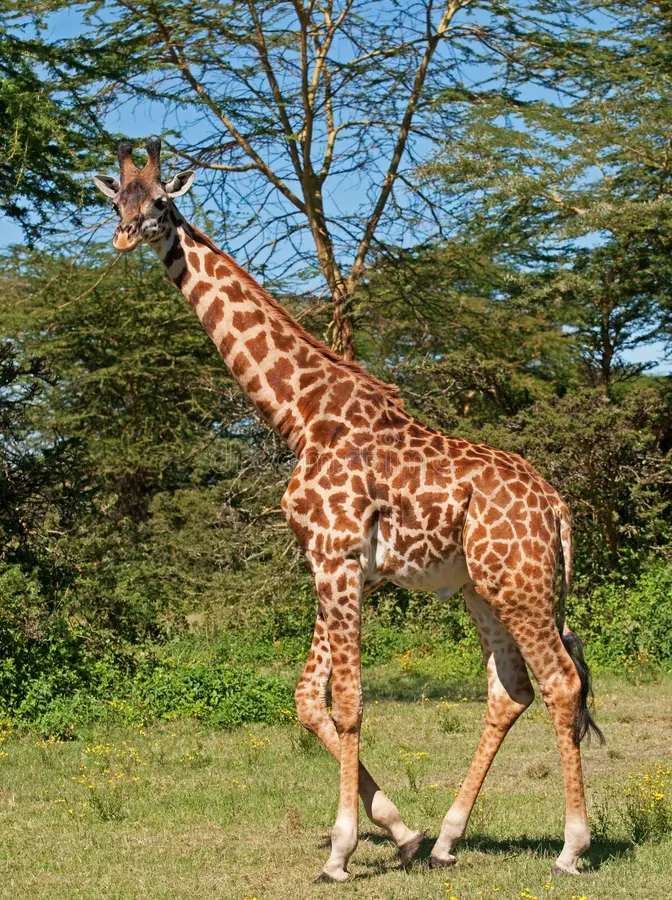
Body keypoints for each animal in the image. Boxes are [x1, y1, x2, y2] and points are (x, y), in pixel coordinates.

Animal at [94, 139, 604, 880]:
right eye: (117, 201)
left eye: (161, 201)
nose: (126, 235)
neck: (302, 416)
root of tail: (558, 506)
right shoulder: (330, 562)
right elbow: (310, 701)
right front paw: (402, 832)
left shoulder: (336, 558)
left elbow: (350, 700)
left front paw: (341, 850)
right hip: (480, 587)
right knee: (510, 688)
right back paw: (447, 840)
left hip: (521, 581)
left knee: (561, 683)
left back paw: (571, 846)